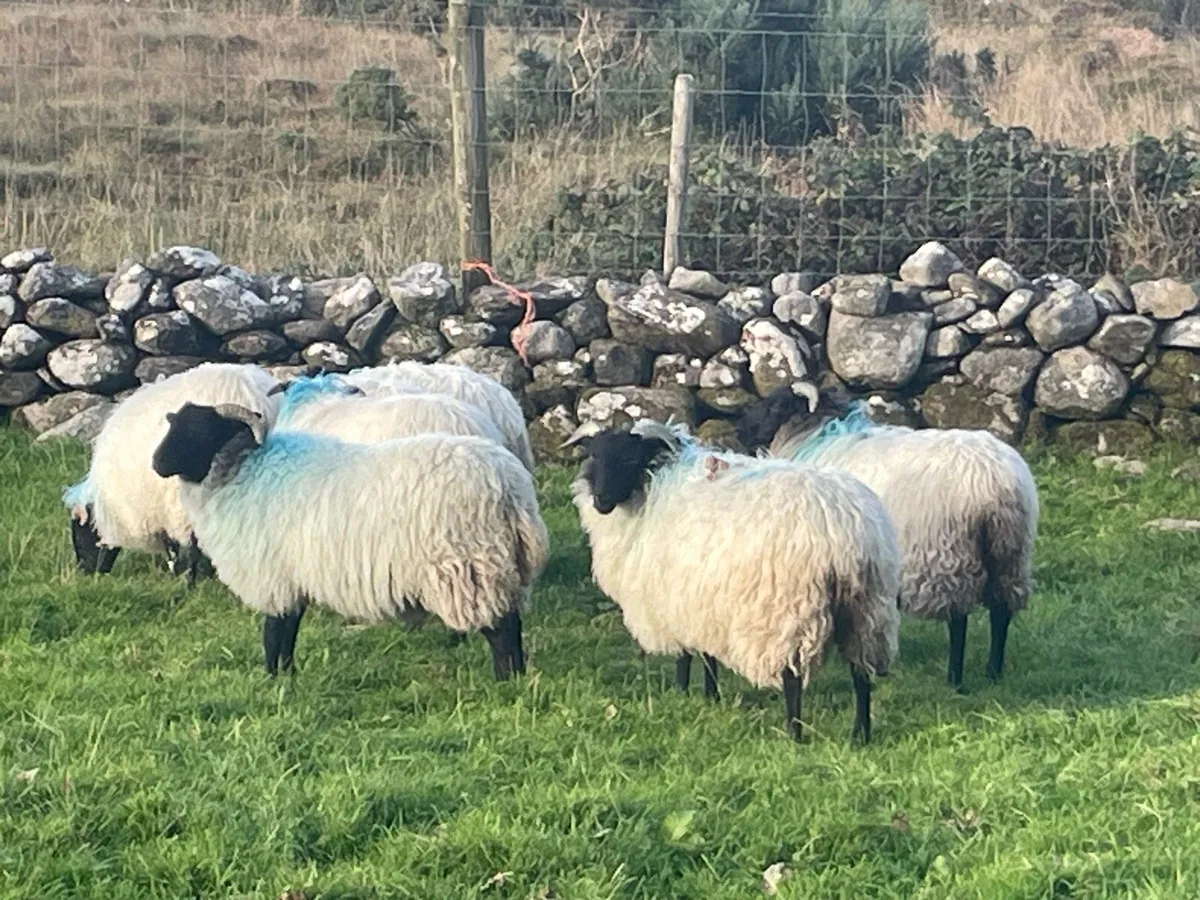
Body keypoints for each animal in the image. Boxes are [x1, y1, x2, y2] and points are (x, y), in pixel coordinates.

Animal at [62, 362, 282, 582]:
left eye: (78, 533)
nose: (85, 573)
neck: (106, 507)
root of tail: (249, 393)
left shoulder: (161, 512)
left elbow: (174, 548)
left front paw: (180, 574)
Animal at [149, 402, 550, 680]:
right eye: (175, 424)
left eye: (202, 429)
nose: (157, 463)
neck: (243, 473)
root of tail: (512, 488)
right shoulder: (291, 577)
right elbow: (288, 631)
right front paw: (287, 677)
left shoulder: (274, 576)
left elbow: (274, 633)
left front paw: (271, 678)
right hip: (496, 565)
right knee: (511, 624)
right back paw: (517, 676)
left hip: (469, 566)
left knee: (501, 629)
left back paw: (503, 680)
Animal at [566, 419, 901, 744]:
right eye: (593, 456)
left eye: (629, 458)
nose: (601, 501)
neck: (652, 491)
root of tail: (842, 528)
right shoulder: (702, 601)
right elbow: (708, 656)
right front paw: (710, 698)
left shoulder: (674, 601)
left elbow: (684, 657)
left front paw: (682, 694)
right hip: (866, 610)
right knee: (861, 674)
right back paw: (860, 735)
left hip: (788, 612)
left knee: (792, 679)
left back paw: (794, 735)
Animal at [736, 383, 1039, 691]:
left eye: (775, 405)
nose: (741, 430)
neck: (817, 435)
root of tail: (998, 482)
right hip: (1010, 553)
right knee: (1001, 611)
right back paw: (993, 672)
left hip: (950, 554)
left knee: (958, 619)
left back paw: (954, 679)